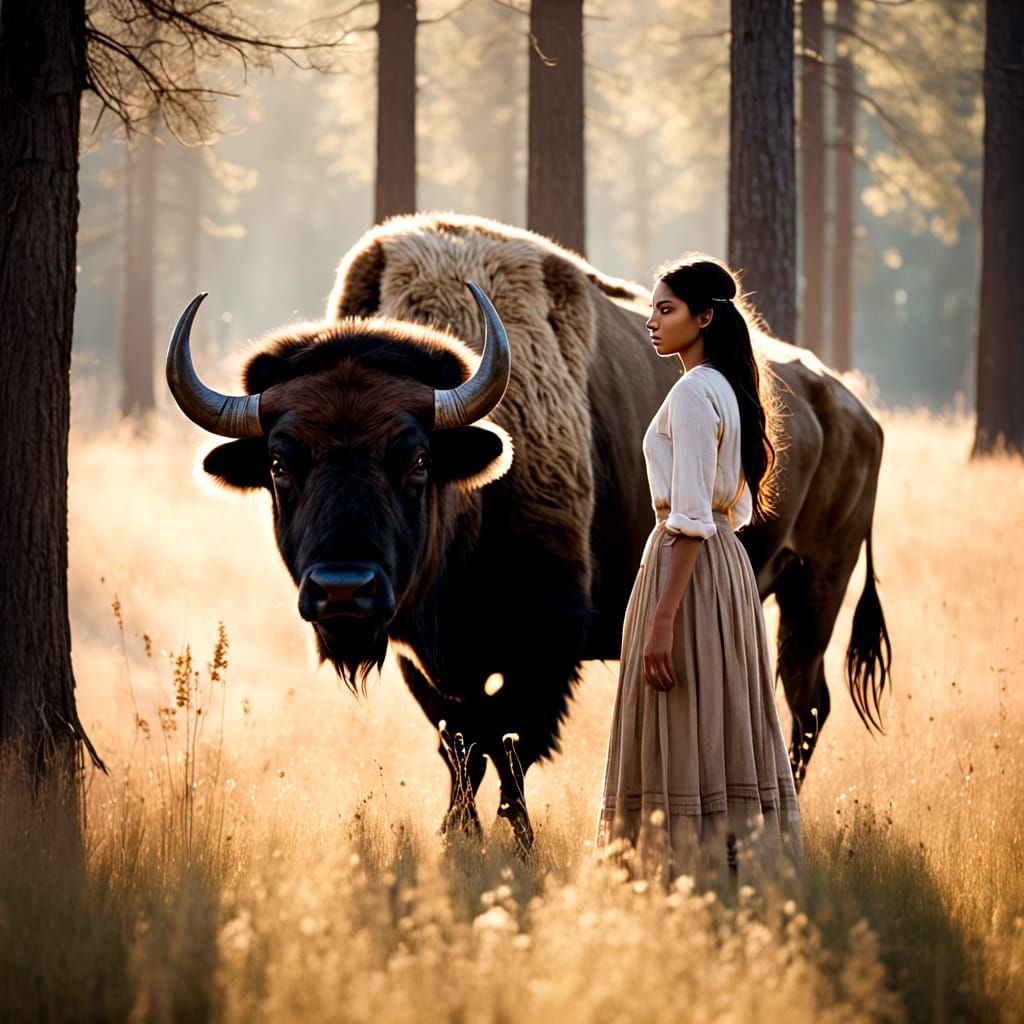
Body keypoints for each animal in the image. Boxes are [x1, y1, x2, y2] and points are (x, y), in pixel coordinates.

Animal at [167, 213, 890, 849]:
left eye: (417, 458)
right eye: (280, 463)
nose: (344, 590)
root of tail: (856, 409)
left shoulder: (546, 642)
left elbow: (509, 743)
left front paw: (516, 843)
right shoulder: (421, 654)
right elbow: (460, 744)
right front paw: (457, 835)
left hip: (815, 588)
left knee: (806, 702)